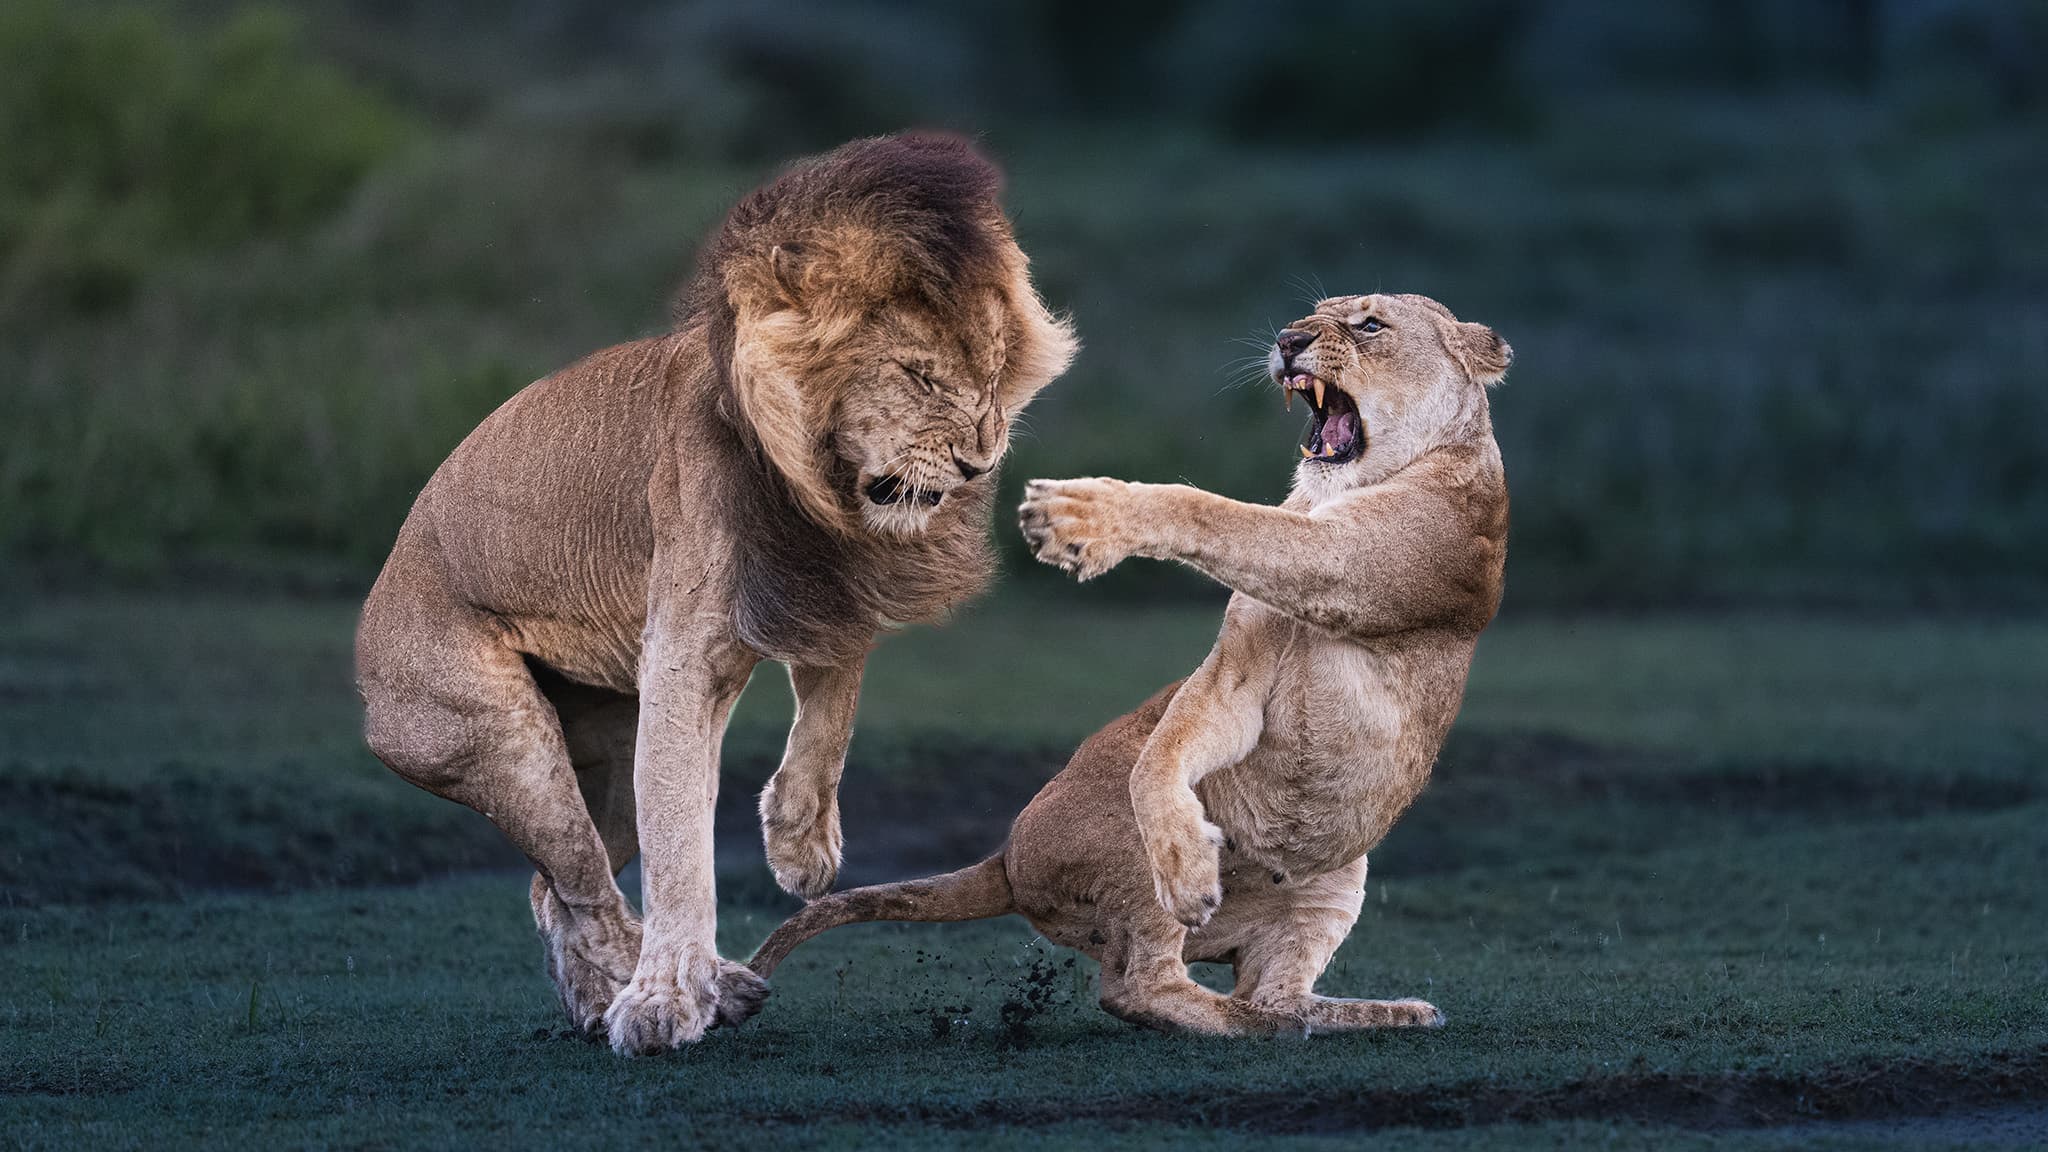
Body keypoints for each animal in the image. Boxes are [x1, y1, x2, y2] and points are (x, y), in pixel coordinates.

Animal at [354, 133, 1076, 1054]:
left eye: (991, 376)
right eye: (919, 377)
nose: (980, 464)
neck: (816, 483)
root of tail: (376, 603)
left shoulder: (823, 583)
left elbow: (834, 707)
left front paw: (800, 841)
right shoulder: (683, 652)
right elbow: (679, 847)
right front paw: (667, 996)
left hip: (603, 753)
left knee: (554, 893)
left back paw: (602, 999)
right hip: (496, 735)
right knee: (586, 884)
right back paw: (688, 989)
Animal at [749, 293, 1508, 1035]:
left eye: (1370, 324)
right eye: (1313, 313)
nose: (1289, 340)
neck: (1337, 489)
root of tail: (1006, 858)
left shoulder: (1358, 563)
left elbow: (1220, 514)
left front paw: (1087, 511)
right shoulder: (1237, 671)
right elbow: (1172, 741)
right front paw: (1185, 857)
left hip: (1335, 879)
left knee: (1230, 989)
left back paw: (1358, 1014)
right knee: (1150, 985)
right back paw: (1267, 1005)